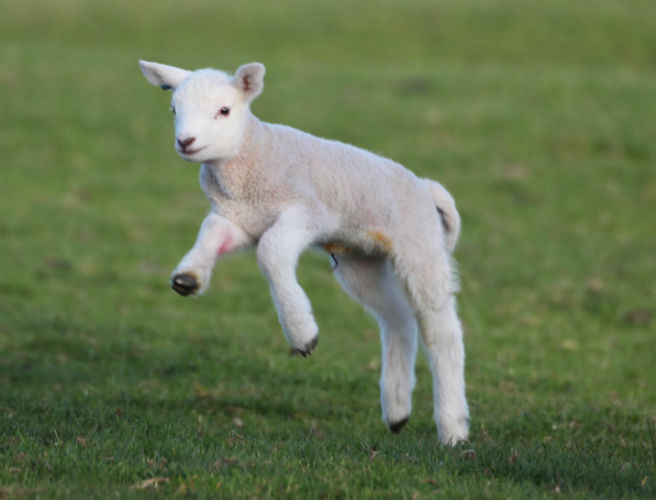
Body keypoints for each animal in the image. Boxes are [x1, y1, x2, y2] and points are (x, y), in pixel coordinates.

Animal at [138, 60, 469, 445]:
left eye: (224, 110)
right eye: (174, 110)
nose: (185, 142)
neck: (251, 159)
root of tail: (426, 188)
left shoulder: (307, 211)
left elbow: (270, 251)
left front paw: (302, 334)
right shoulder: (239, 220)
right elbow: (211, 232)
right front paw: (188, 278)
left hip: (419, 245)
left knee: (441, 330)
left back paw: (453, 428)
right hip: (361, 261)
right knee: (398, 318)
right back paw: (397, 411)